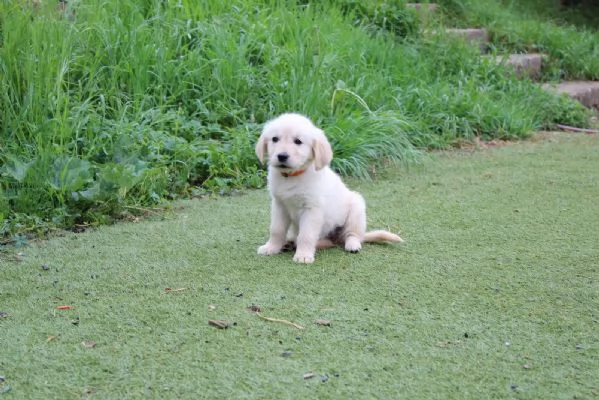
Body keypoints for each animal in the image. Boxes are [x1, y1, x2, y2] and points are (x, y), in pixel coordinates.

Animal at [254, 113, 404, 262]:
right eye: (275, 139)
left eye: (298, 141)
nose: (282, 156)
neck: (291, 177)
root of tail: (338, 238)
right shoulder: (279, 205)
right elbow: (276, 229)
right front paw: (271, 248)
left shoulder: (312, 209)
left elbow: (306, 235)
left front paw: (303, 255)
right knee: (326, 242)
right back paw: (289, 242)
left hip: (356, 209)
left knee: (351, 235)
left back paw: (352, 244)